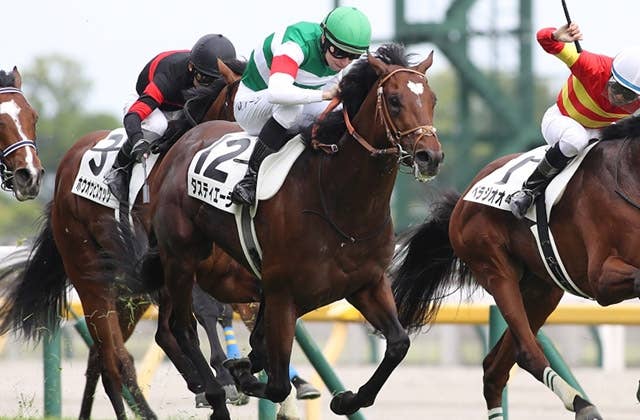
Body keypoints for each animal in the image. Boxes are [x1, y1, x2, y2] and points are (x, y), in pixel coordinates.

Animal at [107, 43, 442, 418]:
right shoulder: (283, 291)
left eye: (432, 99)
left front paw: (346, 399)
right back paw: (215, 394)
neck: (338, 201)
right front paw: (241, 375)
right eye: (395, 101)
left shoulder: (364, 284)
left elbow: (399, 343)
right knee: (181, 328)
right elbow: (277, 381)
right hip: (179, 258)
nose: (430, 156)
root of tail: (183, 142)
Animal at [388, 117, 640, 420]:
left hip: (542, 290)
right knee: (526, 354)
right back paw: (582, 404)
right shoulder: (601, 277)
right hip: (495, 269)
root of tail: (463, 198)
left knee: (494, 370)